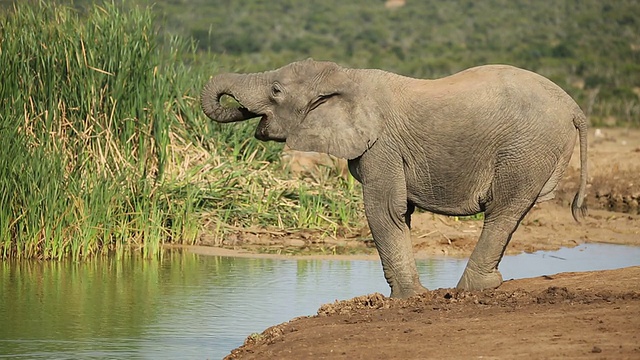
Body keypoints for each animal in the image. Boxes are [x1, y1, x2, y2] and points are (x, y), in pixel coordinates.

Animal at [202, 59, 588, 298]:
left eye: (276, 91)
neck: (347, 77)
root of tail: (575, 107)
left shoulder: (382, 144)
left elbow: (383, 210)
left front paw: (407, 298)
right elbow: (398, 213)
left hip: (527, 146)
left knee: (503, 210)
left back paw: (473, 289)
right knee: (512, 210)